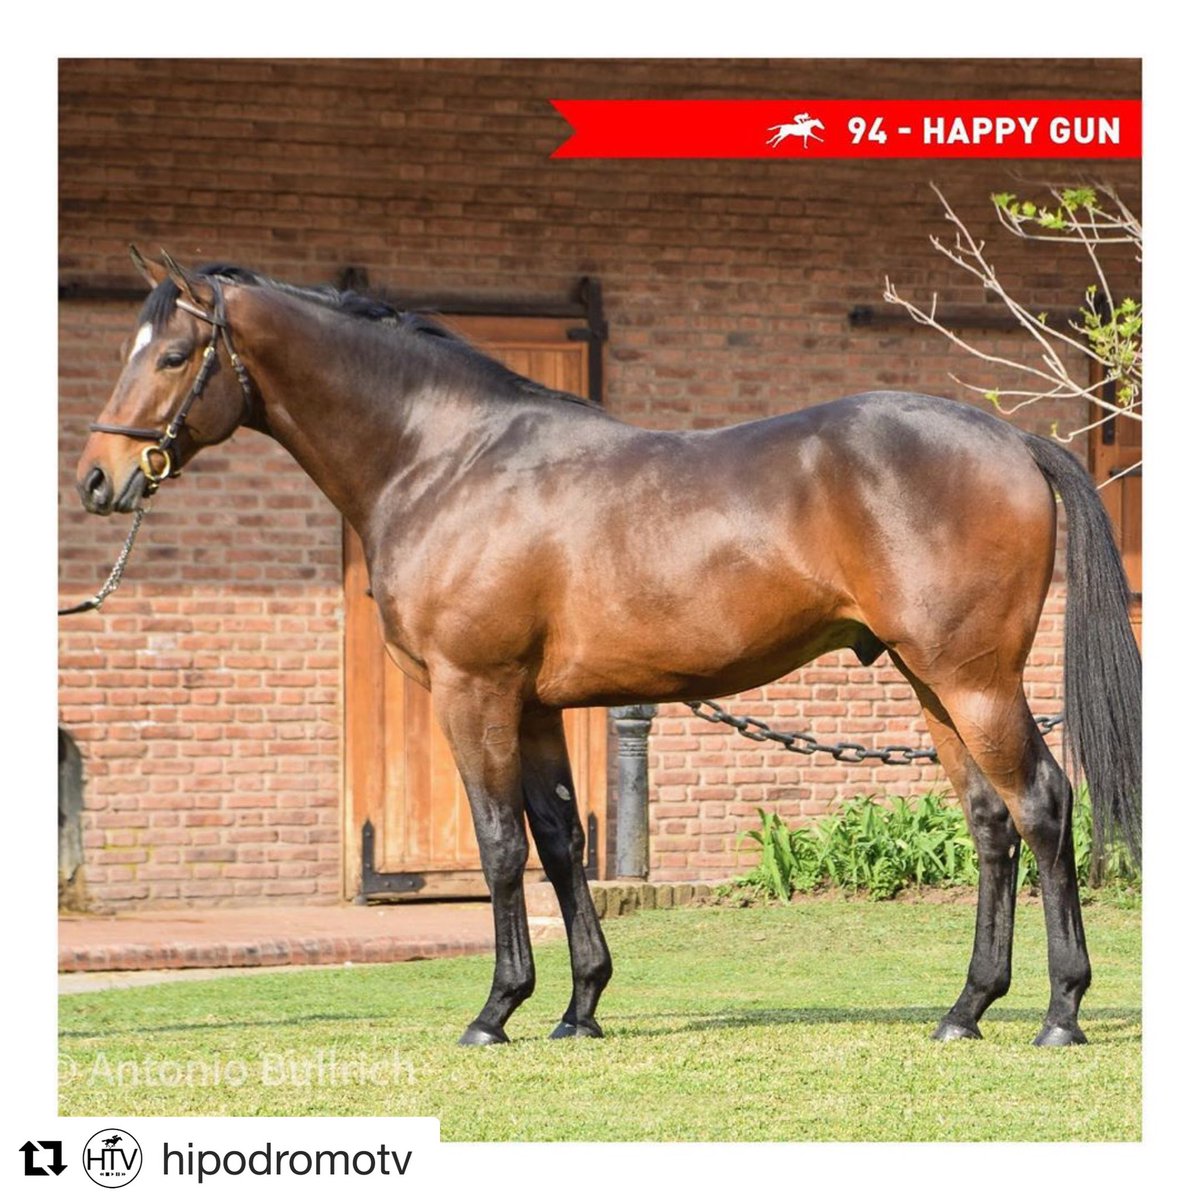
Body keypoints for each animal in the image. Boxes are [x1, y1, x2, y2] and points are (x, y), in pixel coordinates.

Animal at [72, 249, 1141, 1048]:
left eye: (173, 355)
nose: (98, 479)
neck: (447, 460)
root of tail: (1012, 440)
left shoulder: (473, 691)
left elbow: (499, 845)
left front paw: (495, 1011)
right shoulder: (536, 704)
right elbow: (560, 842)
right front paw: (579, 1007)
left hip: (975, 681)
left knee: (1044, 806)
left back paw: (1060, 1011)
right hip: (933, 683)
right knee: (991, 823)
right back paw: (966, 1009)